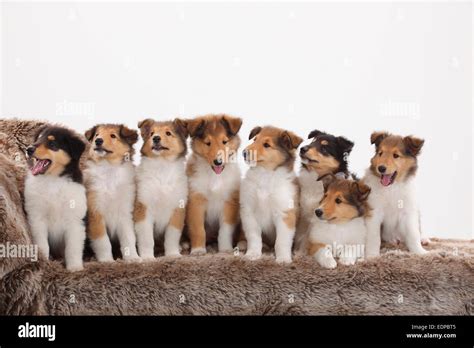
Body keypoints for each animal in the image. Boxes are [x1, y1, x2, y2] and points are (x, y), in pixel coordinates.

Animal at [24, 126, 87, 270]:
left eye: (52, 144)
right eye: (38, 139)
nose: (28, 149)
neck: (53, 180)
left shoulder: (75, 221)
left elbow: (73, 247)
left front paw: (75, 267)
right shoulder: (37, 217)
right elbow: (43, 244)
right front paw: (45, 262)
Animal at [83, 123, 140, 262]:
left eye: (113, 136)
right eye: (97, 135)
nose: (98, 141)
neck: (109, 168)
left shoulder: (125, 213)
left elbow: (129, 238)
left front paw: (133, 258)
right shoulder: (95, 213)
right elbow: (103, 241)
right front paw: (107, 260)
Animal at [133, 118, 189, 256]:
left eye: (168, 133)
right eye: (151, 133)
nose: (156, 138)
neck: (162, 165)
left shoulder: (177, 209)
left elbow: (172, 236)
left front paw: (173, 254)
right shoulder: (143, 208)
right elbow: (147, 238)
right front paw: (147, 257)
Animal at [241, 126, 304, 262]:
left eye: (266, 145)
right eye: (255, 139)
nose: (244, 153)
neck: (265, 174)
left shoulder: (285, 214)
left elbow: (282, 241)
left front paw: (283, 259)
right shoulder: (249, 212)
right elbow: (253, 237)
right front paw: (252, 254)